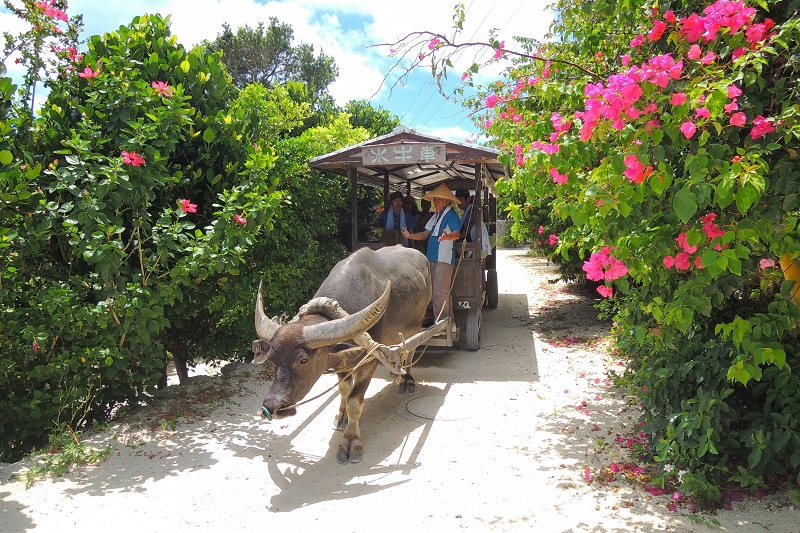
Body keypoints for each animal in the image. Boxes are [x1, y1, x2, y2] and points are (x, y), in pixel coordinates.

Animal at [253, 244, 438, 462]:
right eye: (272, 360)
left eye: (303, 360)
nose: (273, 406)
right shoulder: (341, 362)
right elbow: (344, 389)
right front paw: (341, 417)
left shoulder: (368, 361)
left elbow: (354, 401)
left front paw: (350, 442)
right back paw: (395, 372)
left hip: (416, 325)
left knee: (410, 350)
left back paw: (407, 379)